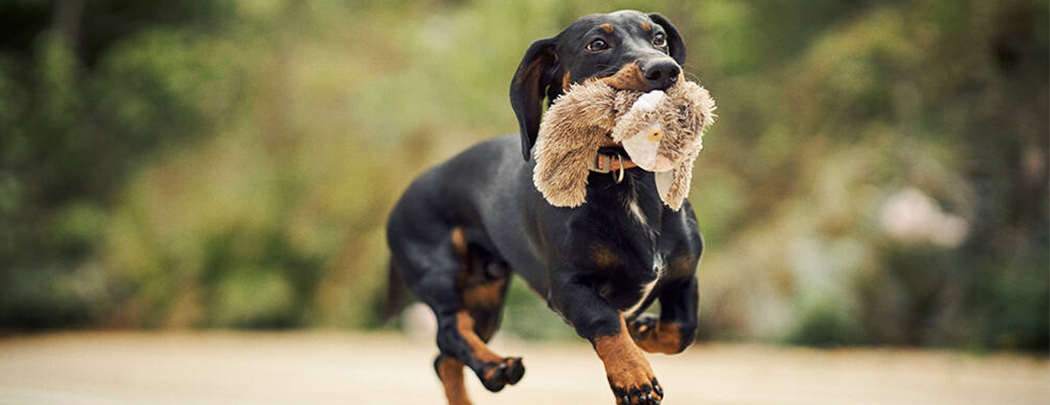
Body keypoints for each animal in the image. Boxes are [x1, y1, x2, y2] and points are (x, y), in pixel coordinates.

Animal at [386, 10, 697, 405]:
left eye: (659, 38)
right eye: (597, 44)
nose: (665, 70)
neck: (626, 179)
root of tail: (405, 194)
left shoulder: (684, 275)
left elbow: (681, 330)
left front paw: (643, 330)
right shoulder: (568, 287)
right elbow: (607, 321)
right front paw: (634, 376)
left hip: (484, 299)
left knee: (446, 357)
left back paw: (490, 372)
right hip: (440, 275)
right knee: (451, 331)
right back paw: (497, 367)